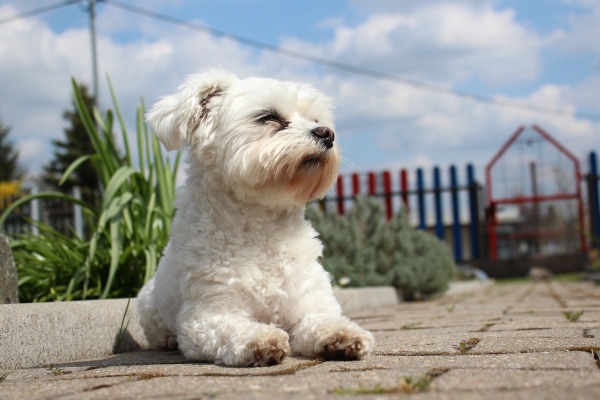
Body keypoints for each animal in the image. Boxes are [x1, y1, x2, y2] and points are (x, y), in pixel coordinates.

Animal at [137, 71, 376, 366]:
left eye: (316, 120)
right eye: (268, 117)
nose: (326, 133)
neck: (262, 228)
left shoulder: (307, 301)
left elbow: (321, 320)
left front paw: (342, 334)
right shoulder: (206, 315)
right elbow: (233, 327)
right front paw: (261, 338)